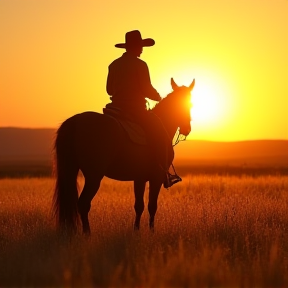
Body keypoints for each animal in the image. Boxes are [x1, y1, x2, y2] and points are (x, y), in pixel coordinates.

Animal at [53, 78, 195, 234]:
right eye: (188, 105)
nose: (187, 129)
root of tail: (75, 121)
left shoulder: (139, 178)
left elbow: (139, 206)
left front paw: (136, 230)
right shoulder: (156, 177)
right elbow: (152, 206)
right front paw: (151, 232)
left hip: (72, 169)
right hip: (94, 176)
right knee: (84, 203)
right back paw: (87, 234)